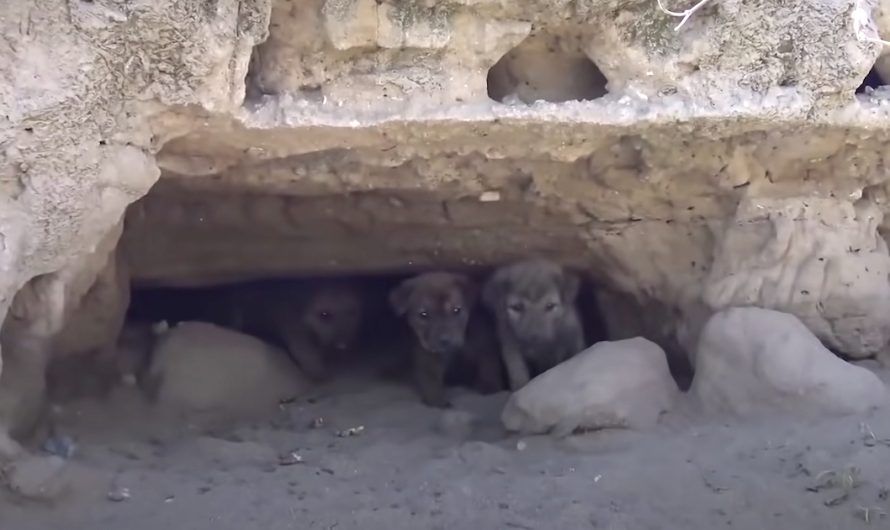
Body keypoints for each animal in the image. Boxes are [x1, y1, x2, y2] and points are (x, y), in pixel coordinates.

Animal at [390, 270, 506, 406]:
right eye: (423, 314)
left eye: (456, 310)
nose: (445, 341)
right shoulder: (427, 355)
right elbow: (431, 380)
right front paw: (437, 402)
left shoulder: (484, 343)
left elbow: (488, 366)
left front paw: (490, 387)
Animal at [482, 258, 588, 390]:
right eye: (517, 307)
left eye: (550, 306)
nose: (533, 336)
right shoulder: (509, 344)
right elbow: (517, 371)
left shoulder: (572, 338)